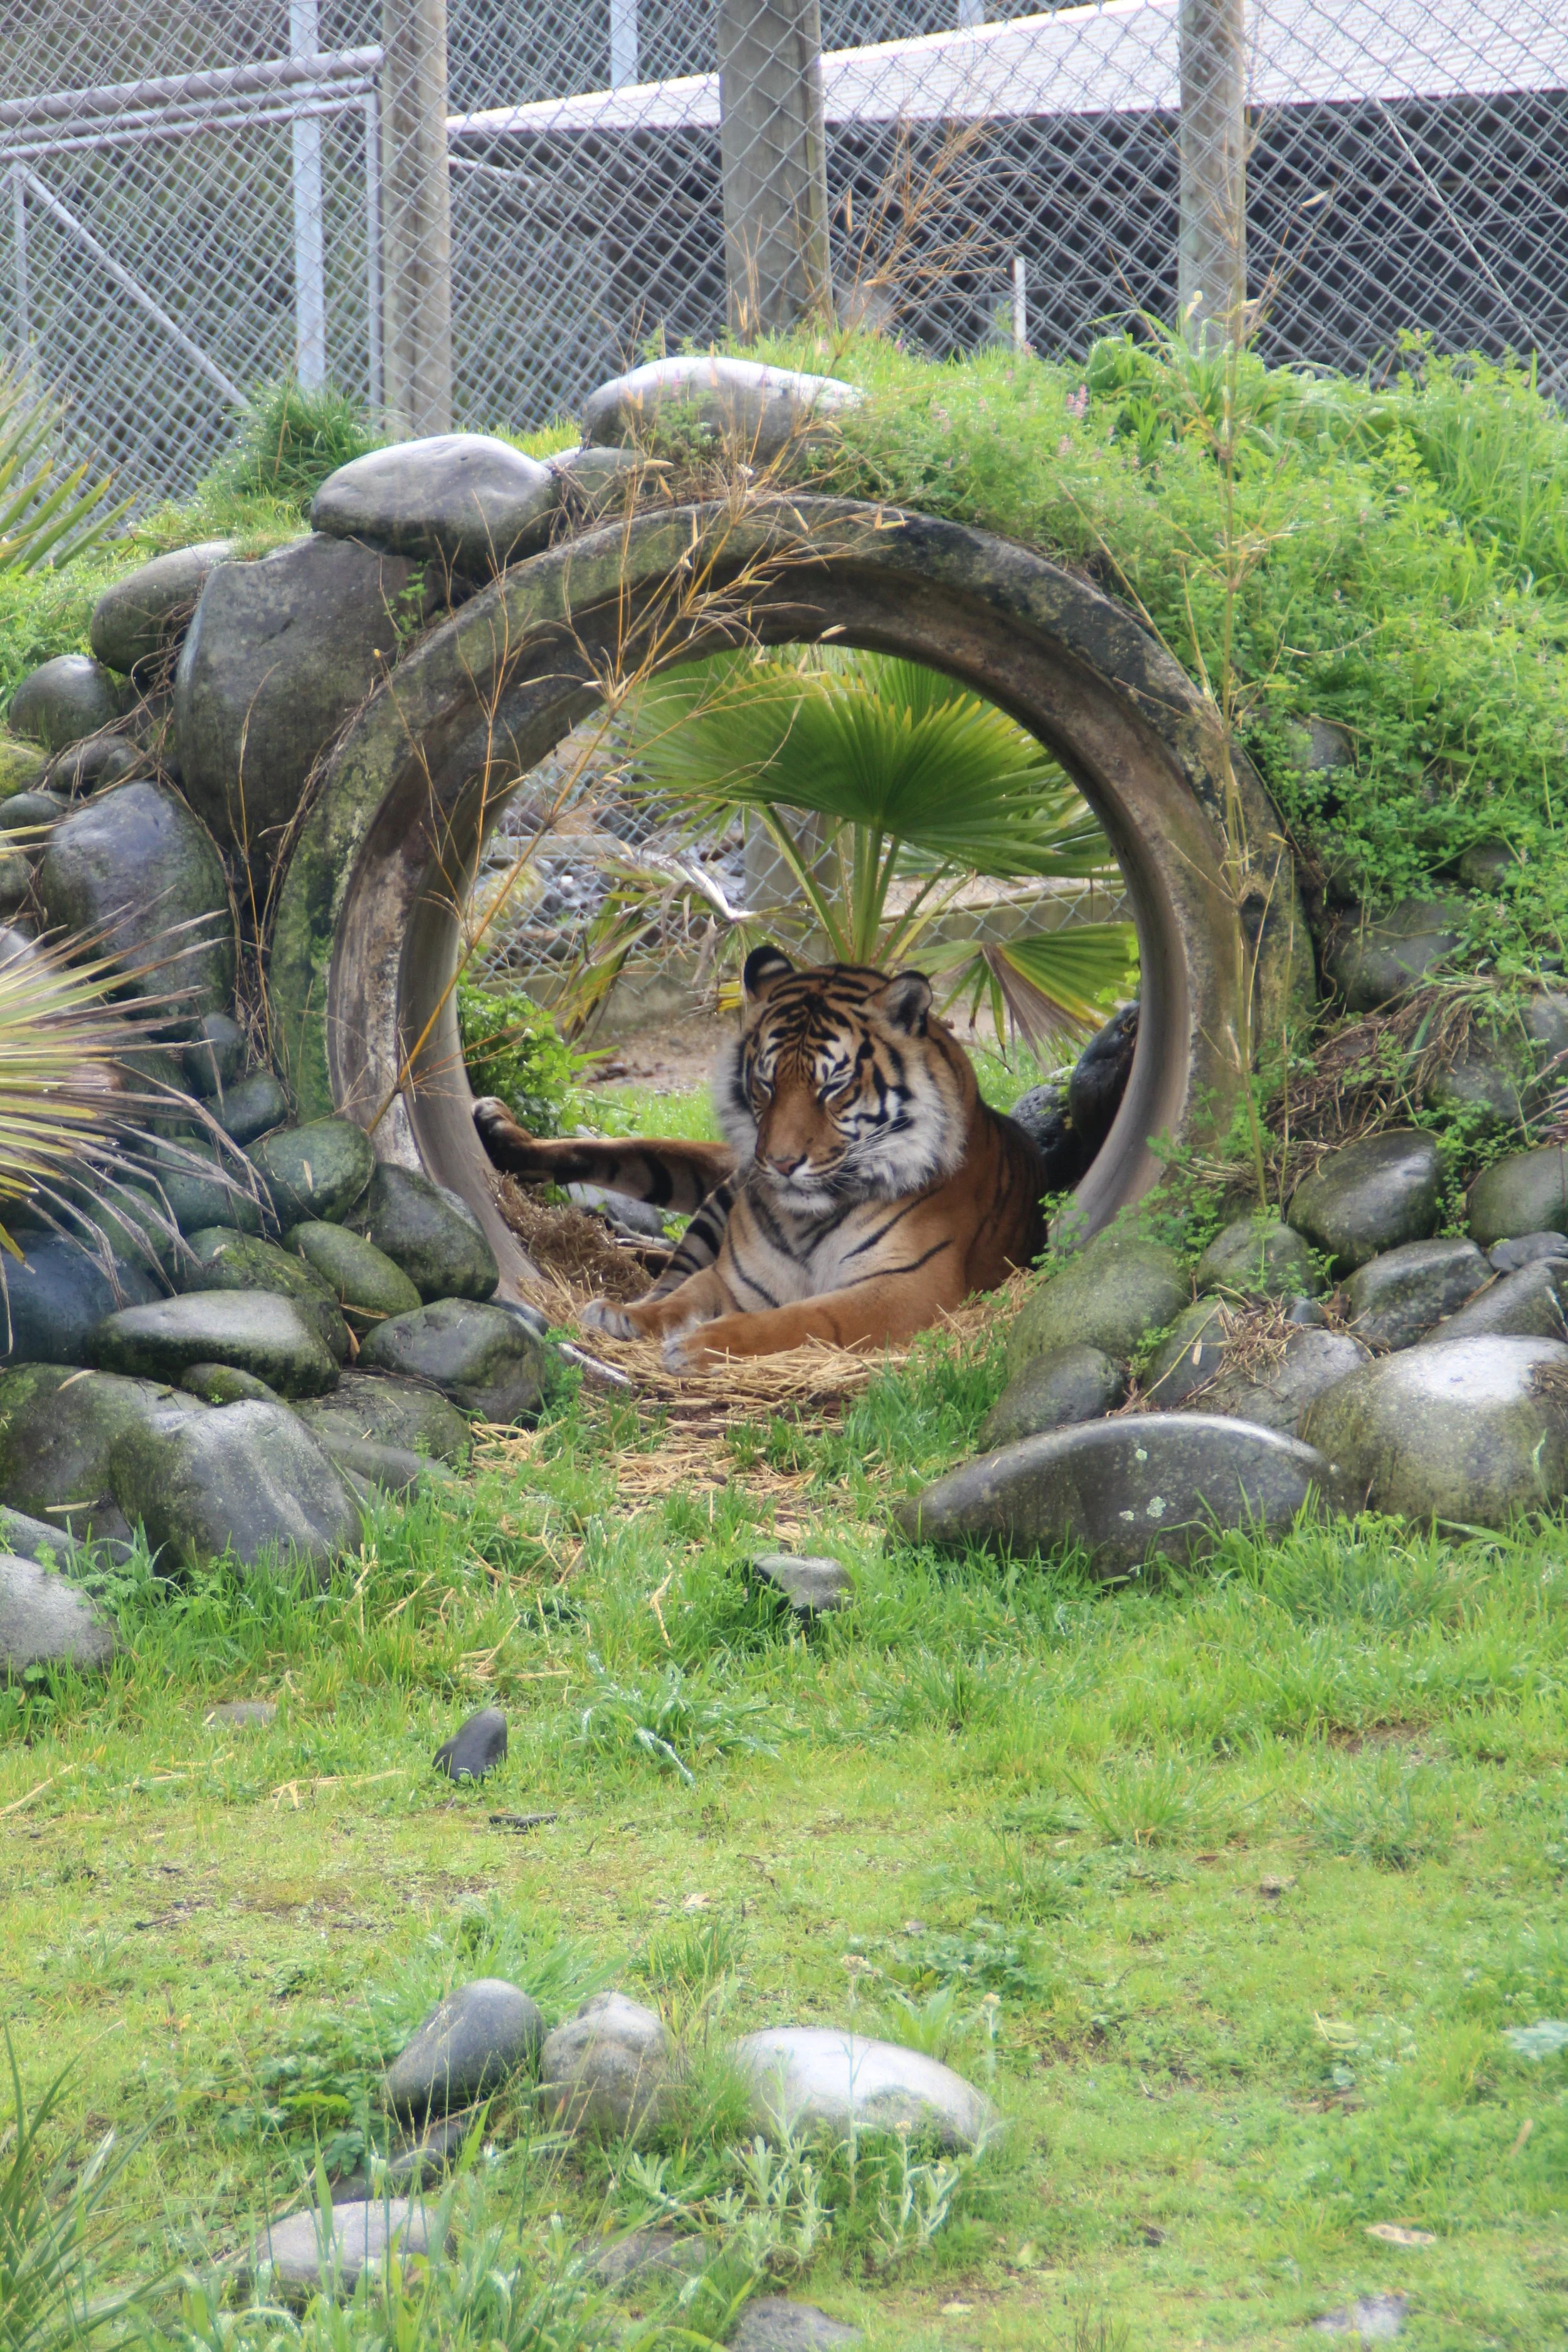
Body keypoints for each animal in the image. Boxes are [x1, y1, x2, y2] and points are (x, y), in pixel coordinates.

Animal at [472, 945, 1051, 1370]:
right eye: (766, 1084)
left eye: (832, 1088)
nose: (780, 1162)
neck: (807, 1221)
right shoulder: (735, 1275)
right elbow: (680, 1298)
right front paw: (626, 1315)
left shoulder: (906, 1287)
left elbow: (800, 1319)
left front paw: (699, 1345)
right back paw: (501, 1133)